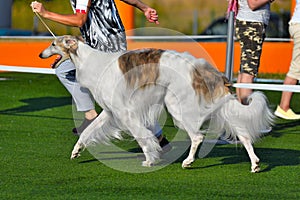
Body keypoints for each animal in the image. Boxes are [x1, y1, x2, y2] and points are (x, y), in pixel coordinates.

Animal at [39, 35, 274, 172]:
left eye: (53, 44)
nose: (40, 54)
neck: (91, 61)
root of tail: (202, 68)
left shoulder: (126, 113)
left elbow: (143, 137)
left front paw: (150, 159)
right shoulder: (109, 112)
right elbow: (88, 132)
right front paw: (76, 151)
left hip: (177, 106)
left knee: (197, 136)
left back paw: (188, 161)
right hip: (217, 106)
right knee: (243, 134)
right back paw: (255, 163)